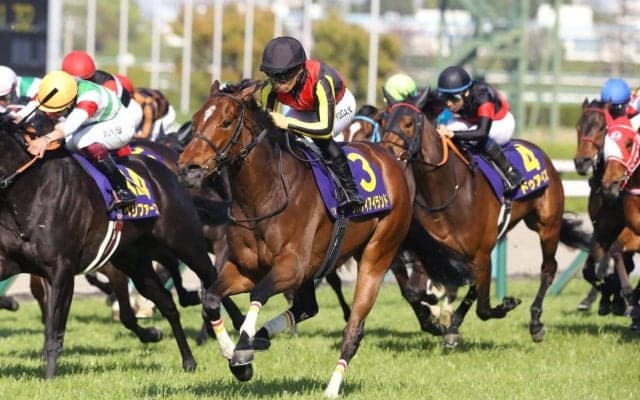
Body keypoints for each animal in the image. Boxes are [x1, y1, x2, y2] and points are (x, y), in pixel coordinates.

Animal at [0, 115, 221, 379]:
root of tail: (166, 170)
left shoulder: (61, 270)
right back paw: (188, 360)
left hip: (186, 242)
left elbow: (55, 328)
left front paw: (49, 377)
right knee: (167, 303)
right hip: (135, 261)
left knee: (212, 279)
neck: (31, 191)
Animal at [178, 79, 412, 398]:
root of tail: (389, 158)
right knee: (306, 308)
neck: (264, 196)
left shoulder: (291, 266)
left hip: (377, 256)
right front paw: (232, 352)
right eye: (195, 119)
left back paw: (331, 387)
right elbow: (212, 296)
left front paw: (242, 349)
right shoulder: (245, 269)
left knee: (353, 329)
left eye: (225, 122)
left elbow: (259, 294)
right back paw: (261, 338)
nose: (187, 167)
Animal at [381, 89, 592, 348]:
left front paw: (506, 305)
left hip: (547, 226)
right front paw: (437, 316)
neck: (445, 191)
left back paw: (535, 324)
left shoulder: (478, 251)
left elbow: (482, 307)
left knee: (548, 268)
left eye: (408, 124)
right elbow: (415, 290)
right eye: (384, 122)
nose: (388, 154)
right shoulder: (433, 250)